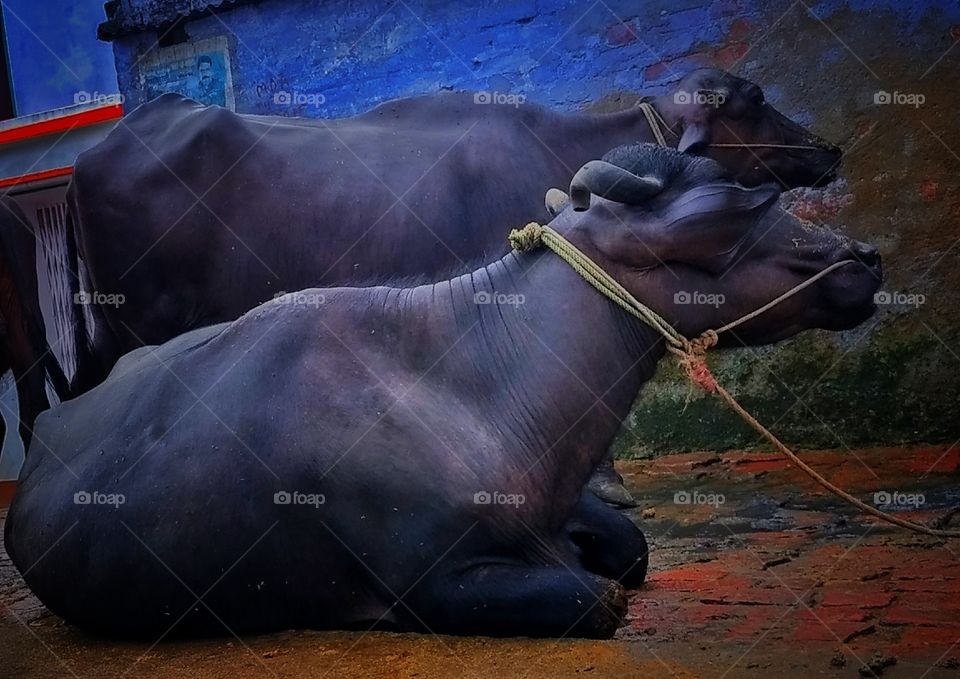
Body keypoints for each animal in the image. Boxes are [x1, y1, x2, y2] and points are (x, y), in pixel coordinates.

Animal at [7, 145, 881, 638]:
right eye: (727, 211)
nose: (864, 259)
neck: (469, 387)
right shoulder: (432, 583)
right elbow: (597, 598)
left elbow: (630, 551)